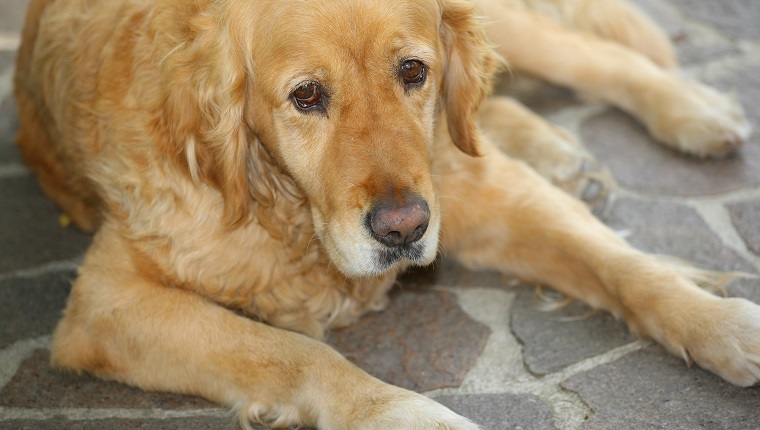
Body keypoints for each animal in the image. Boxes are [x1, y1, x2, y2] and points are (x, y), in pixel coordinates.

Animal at [13, 0, 760, 428]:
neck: (280, 202)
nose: (405, 228)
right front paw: (408, 412)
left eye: (413, 71)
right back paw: (554, 147)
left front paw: (721, 322)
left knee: (581, 53)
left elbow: (621, 265)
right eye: (307, 95)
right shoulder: (106, 302)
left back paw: (690, 109)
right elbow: (298, 352)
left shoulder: (471, 191)